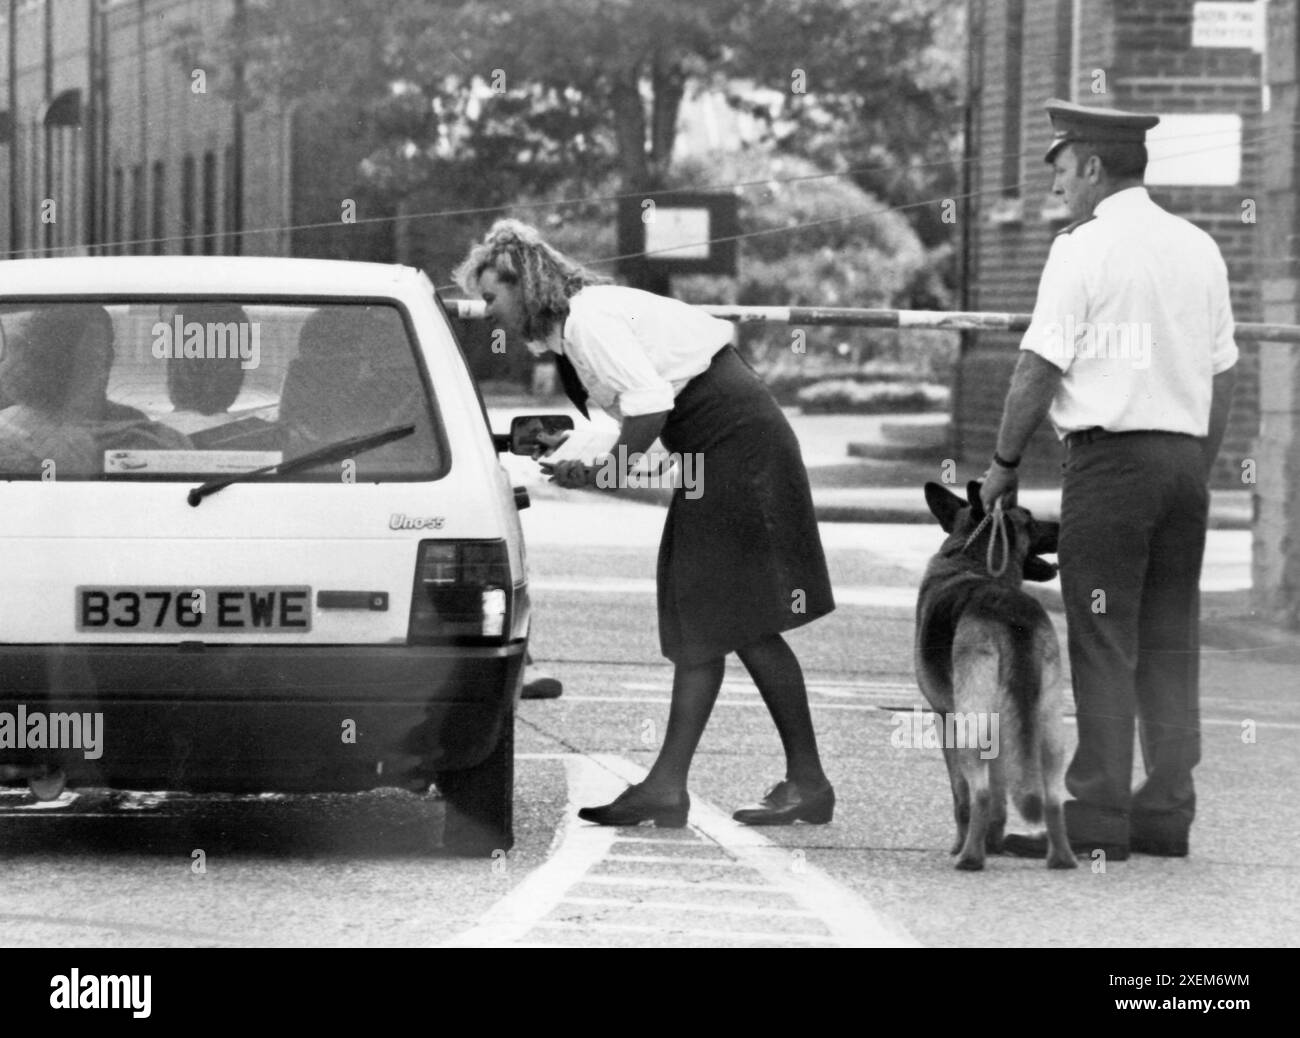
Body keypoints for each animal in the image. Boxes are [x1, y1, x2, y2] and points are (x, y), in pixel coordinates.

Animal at [915, 483, 1076, 874]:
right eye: (1030, 519)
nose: (1061, 525)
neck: (971, 558)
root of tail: (1010, 613)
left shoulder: (946, 719)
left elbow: (963, 797)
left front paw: (963, 843)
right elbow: (1002, 796)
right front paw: (996, 841)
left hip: (971, 724)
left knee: (981, 792)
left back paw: (970, 857)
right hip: (1049, 724)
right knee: (1052, 797)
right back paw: (1060, 858)